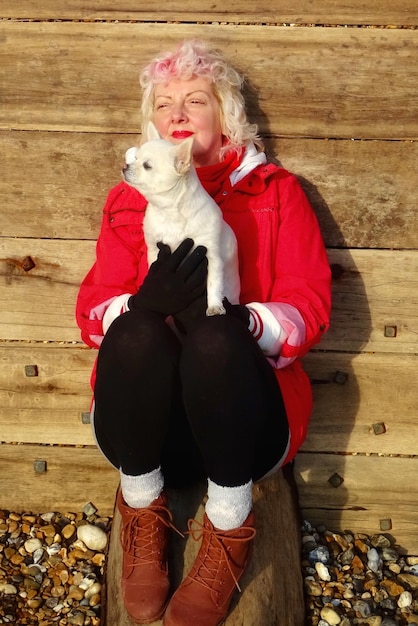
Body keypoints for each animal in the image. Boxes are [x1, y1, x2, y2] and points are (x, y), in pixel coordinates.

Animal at [121, 123, 238, 314]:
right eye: (135, 158)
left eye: (147, 166)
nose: (125, 166)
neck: (169, 211)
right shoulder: (155, 250)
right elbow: (154, 267)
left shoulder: (212, 256)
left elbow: (213, 284)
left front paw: (215, 306)